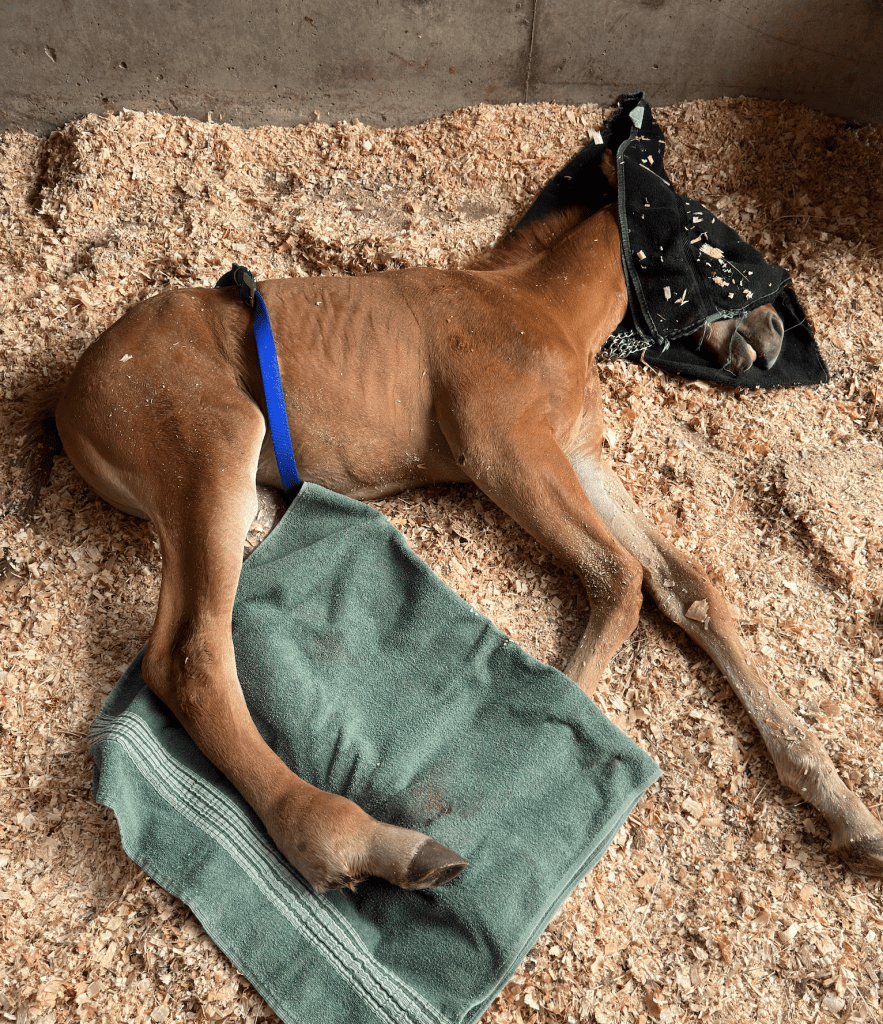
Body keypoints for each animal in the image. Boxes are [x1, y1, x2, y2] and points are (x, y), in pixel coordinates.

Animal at [20, 199, 882, 893]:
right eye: (725, 247)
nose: (771, 339)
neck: (538, 307)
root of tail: (72, 389)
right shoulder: (502, 447)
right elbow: (618, 579)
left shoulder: (579, 456)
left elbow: (685, 585)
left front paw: (846, 808)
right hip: (212, 451)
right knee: (191, 656)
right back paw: (367, 847)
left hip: (231, 496)